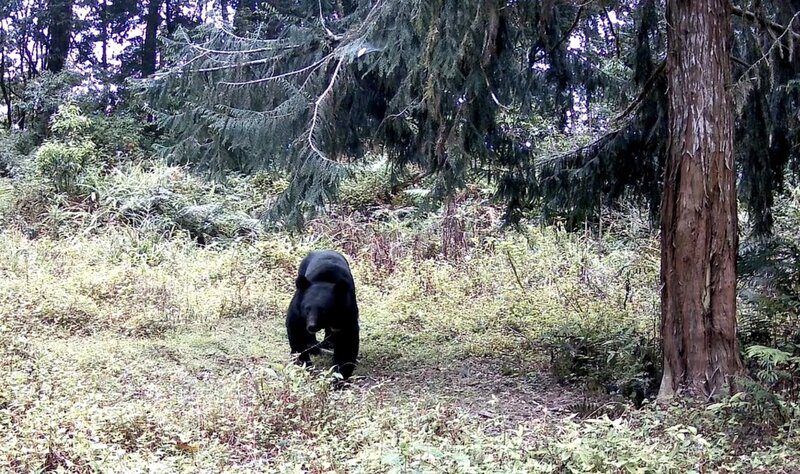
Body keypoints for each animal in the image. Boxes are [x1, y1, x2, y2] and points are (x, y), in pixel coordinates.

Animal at [286, 250, 360, 380]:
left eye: (324, 310)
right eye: (307, 309)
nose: (312, 326)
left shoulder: (347, 311)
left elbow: (347, 341)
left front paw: (339, 375)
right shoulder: (298, 308)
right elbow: (296, 329)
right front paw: (304, 364)